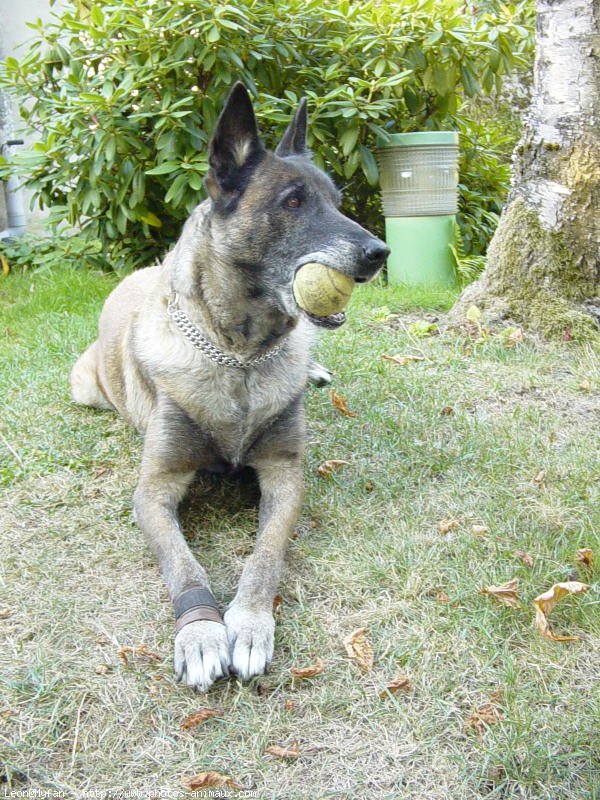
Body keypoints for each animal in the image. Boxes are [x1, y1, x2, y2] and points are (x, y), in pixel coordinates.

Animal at [70, 84, 390, 692]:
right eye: (293, 202)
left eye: (337, 200)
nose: (380, 252)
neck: (239, 358)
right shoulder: (154, 488)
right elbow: (182, 563)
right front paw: (199, 632)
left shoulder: (286, 475)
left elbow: (264, 557)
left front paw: (248, 621)